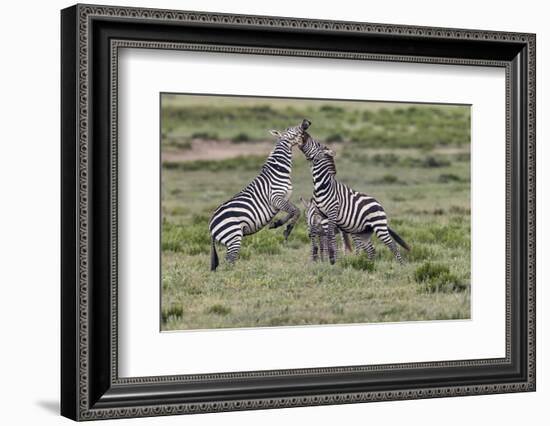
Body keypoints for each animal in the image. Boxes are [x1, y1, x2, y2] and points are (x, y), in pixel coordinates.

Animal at [208, 118, 310, 272]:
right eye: (291, 129)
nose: (306, 121)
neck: (278, 170)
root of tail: (211, 226)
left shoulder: (284, 199)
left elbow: (292, 211)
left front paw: (277, 224)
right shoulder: (275, 198)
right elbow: (295, 211)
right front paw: (286, 230)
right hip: (234, 236)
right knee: (229, 261)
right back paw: (236, 275)